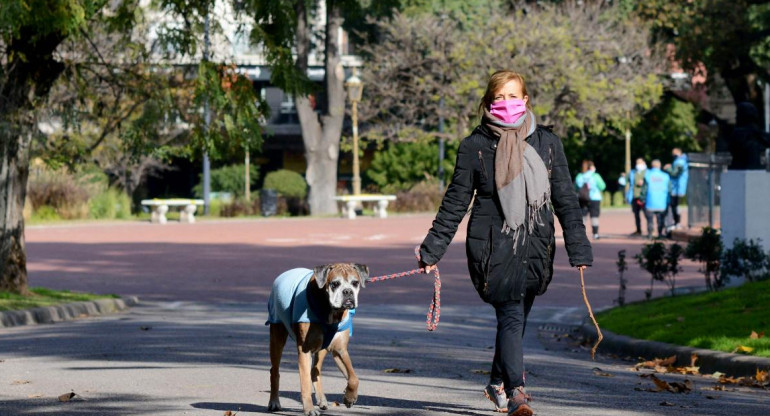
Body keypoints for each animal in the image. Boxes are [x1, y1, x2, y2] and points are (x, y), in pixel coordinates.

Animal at [268, 264, 366, 414]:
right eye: (335, 284)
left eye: (355, 283)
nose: (348, 291)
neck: (332, 313)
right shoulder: (305, 350)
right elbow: (305, 384)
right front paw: (309, 409)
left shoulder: (340, 350)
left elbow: (354, 378)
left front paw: (350, 397)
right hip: (277, 339)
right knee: (275, 371)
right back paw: (274, 402)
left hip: (322, 349)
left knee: (315, 370)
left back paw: (322, 400)